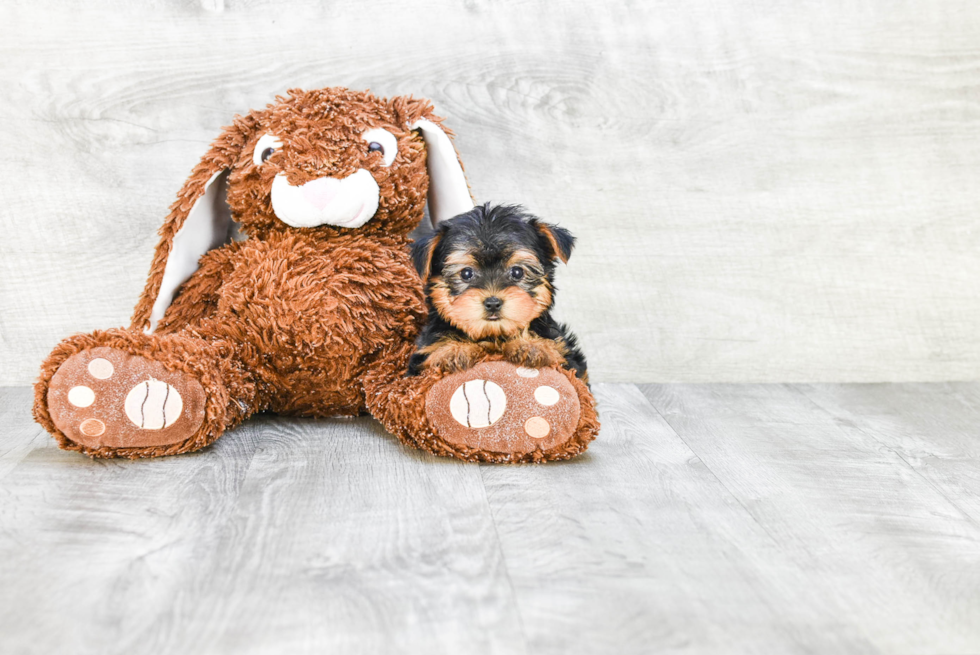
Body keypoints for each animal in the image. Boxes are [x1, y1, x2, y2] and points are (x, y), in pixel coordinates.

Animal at [408, 202, 584, 382]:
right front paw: (452, 349)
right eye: (466, 273)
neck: (493, 334)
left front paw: (531, 345)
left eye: (517, 272)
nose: (493, 303)